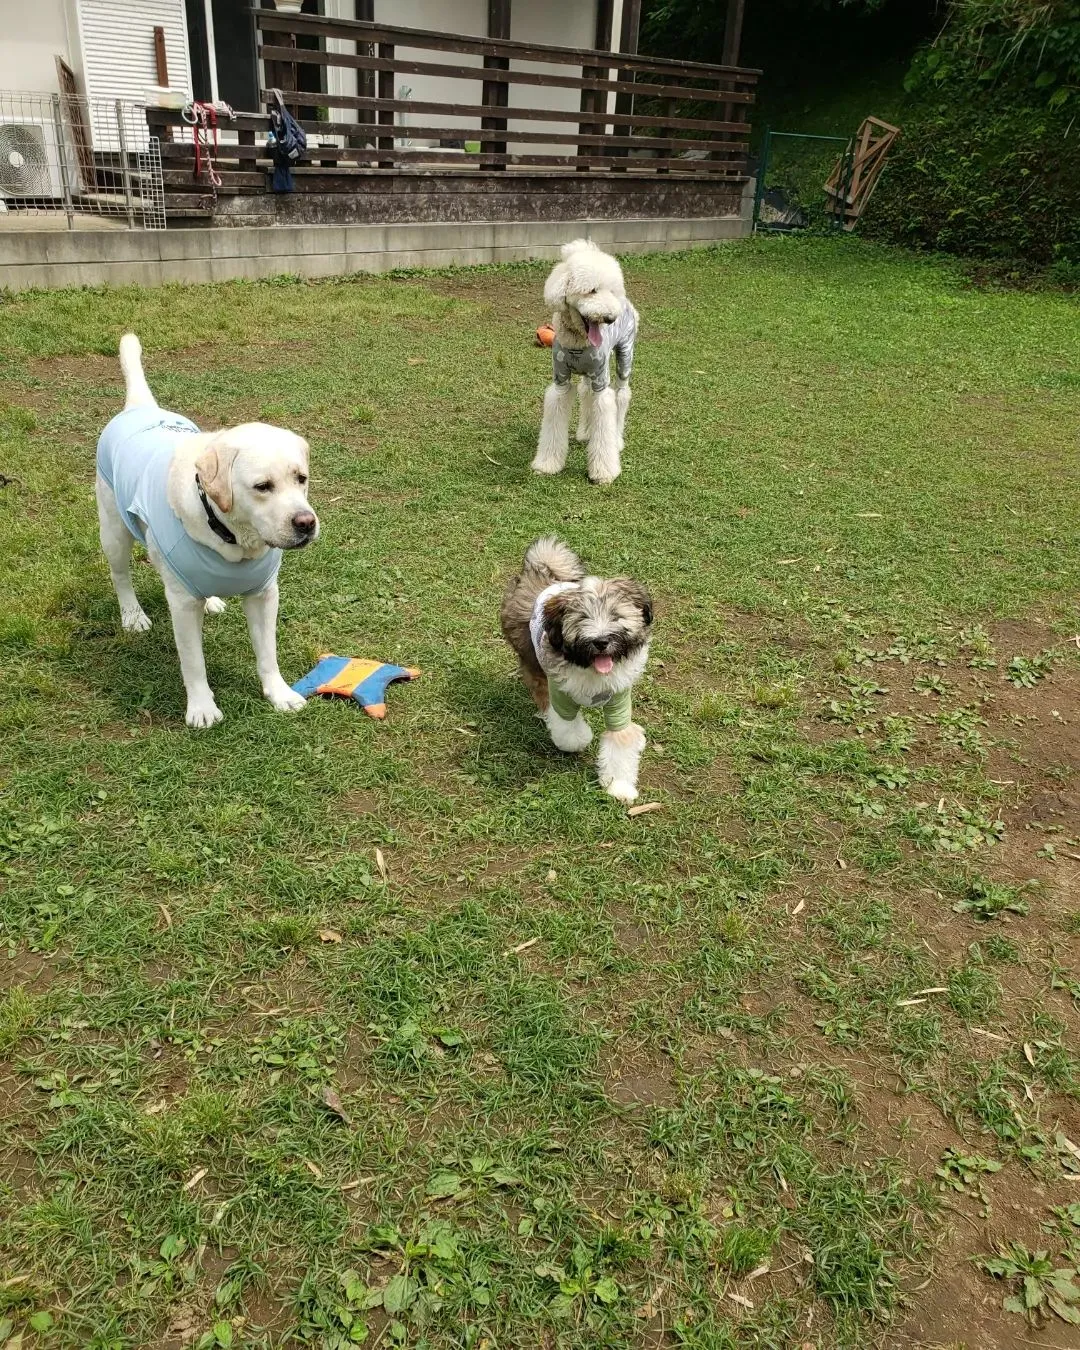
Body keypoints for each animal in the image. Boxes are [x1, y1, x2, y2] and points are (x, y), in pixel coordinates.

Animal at [94, 334, 315, 729]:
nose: (306, 523)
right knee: (120, 575)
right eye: (262, 486)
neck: (234, 539)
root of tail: (139, 407)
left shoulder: (264, 595)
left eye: (301, 478)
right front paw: (201, 708)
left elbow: (268, 653)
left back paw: (210, 599)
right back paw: (132, 615)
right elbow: (193, 662)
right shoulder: (181, 606)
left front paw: (280, 694)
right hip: (114, 531)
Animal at [496, 534, 650, 799]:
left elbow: (620, 740)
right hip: (531, 658)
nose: (601, 641)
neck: (590, 667)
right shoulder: (560, 692)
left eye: (616, 616)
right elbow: (568, 728)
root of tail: (539, 572)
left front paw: (619, 785)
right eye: (582, 618)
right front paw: (580, 739)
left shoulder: (619, 701)